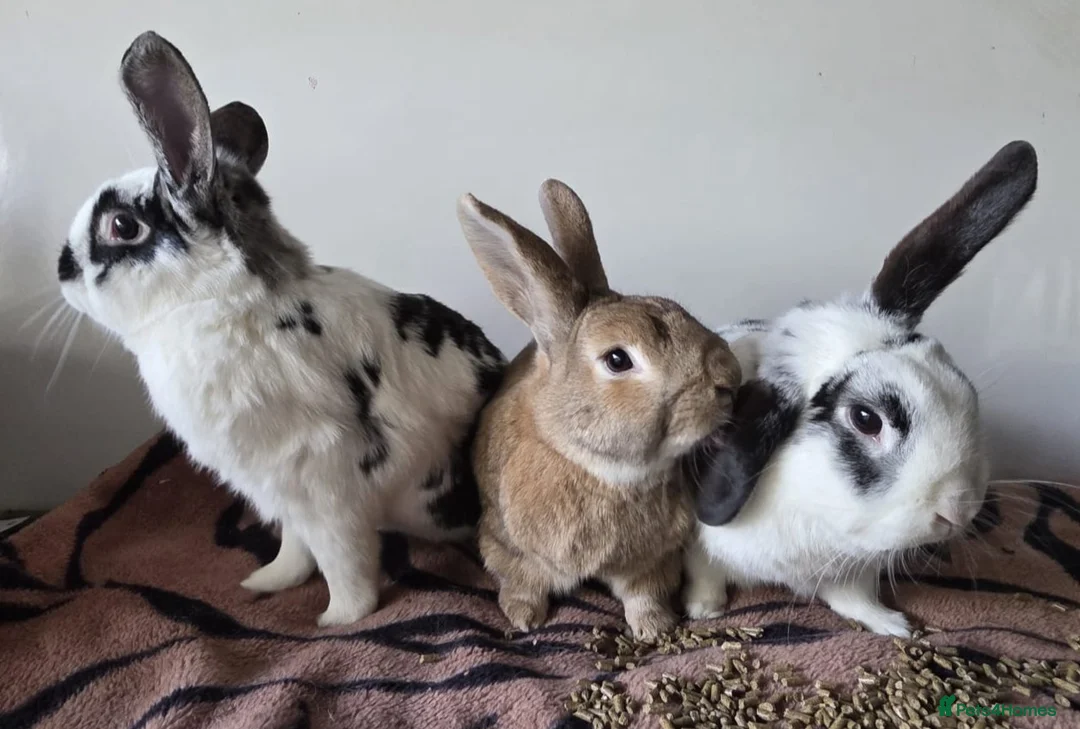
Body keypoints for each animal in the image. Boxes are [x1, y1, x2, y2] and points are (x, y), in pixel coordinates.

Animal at [56, 31, 506, 627]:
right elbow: (296, 547)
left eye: (122, 226)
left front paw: (336, 620)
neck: (223, 304)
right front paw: (267, 582)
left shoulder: (327, 487)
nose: (61, 271)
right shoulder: (282, 492)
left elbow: (344, 562)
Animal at [454, 179, 742, 640]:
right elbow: (521, 582)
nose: (729, 379)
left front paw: (655, 628)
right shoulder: (506, 544)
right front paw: (523, 618)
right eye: (617, 360)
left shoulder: (651, 559)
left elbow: (644, 594)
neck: (597, 466)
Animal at [681, 140, 1038, 637]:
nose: (957, 512)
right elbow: (705, 570)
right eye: (867, 419)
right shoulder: (700, 546)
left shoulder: (851, 569)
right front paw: (704, 609)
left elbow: (853, 598)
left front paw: (893, 624)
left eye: (963, 385)